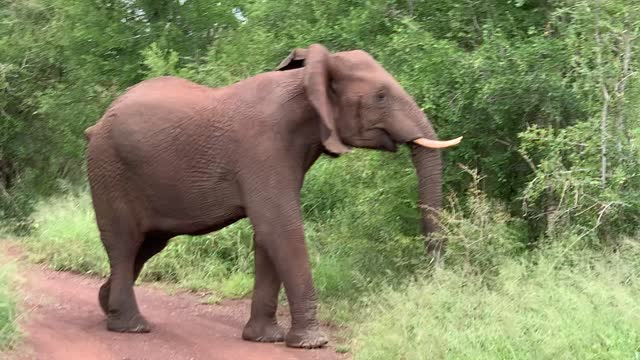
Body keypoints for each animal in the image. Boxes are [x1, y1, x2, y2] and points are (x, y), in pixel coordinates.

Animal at [84, 43, 460, 348]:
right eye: (381, 96)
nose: (435, 277)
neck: (305, 84)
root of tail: (95, 124)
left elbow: (268, 235)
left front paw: (266, 339)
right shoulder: (262, 148)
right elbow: (280, 227)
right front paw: (312, 343)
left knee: (148, 244)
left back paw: (106, 305)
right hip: (109, 169)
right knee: (124, 242)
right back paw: (131, 327)